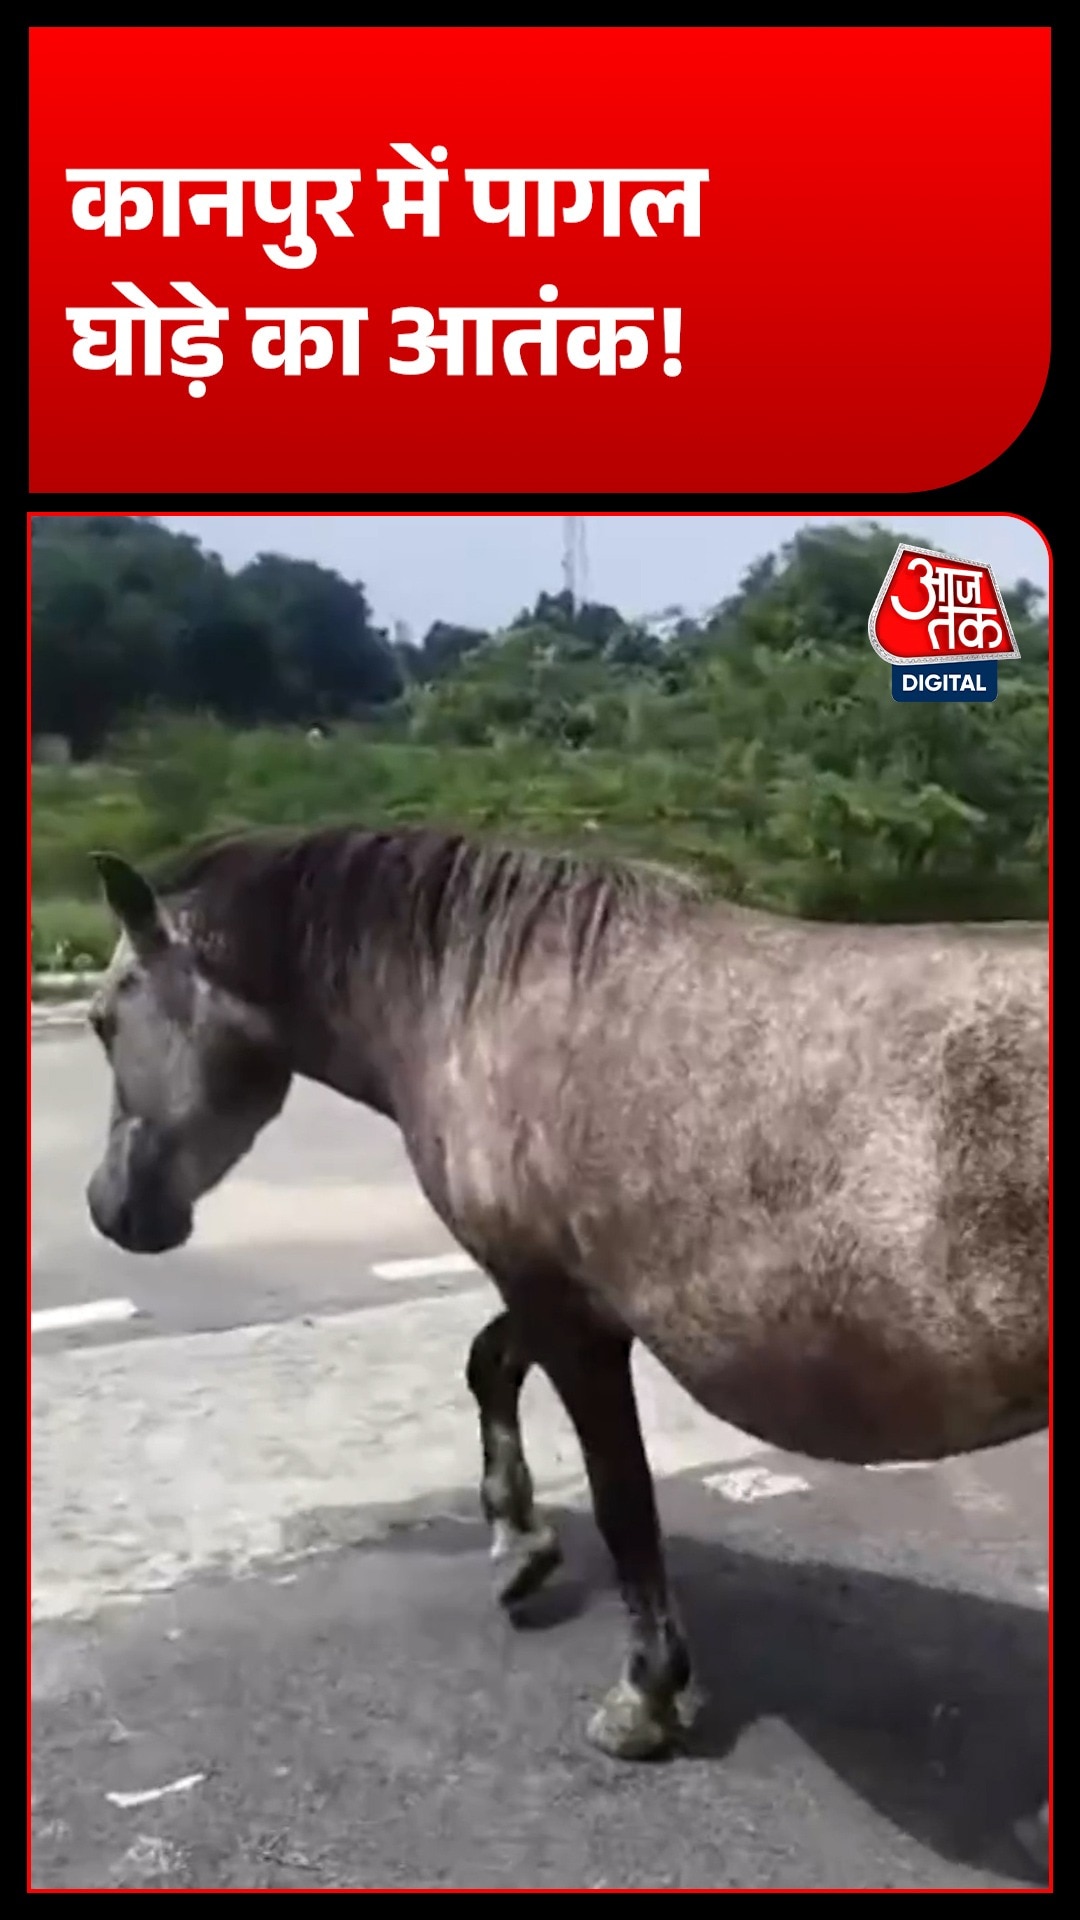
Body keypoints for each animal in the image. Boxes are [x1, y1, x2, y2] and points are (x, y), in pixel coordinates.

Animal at [81, 826, 1050, 1874]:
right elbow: (487, 1365)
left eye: (101, 1019)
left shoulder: (563, 1305)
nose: (111, 1208)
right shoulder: (555, 1287)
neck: (488, 1002)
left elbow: (623, 1499)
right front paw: (520, 1545)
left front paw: (644, 1698)